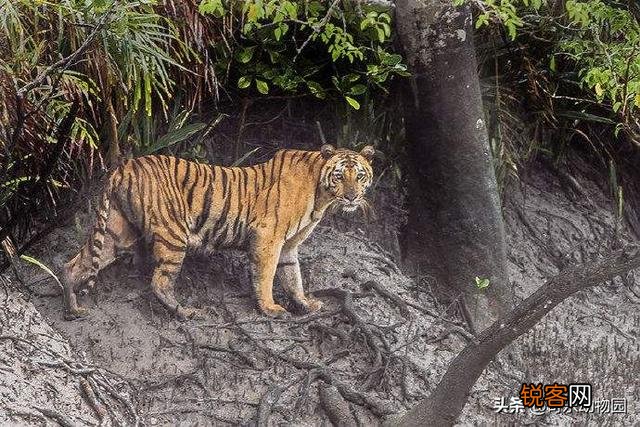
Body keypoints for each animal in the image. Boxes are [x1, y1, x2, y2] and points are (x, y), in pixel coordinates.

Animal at [63, 144, 375, 320]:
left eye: (359, 176)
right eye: (340, 175)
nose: (352, 197)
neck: (321, 195)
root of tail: (125, 166)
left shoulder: (288, 246)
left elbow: (292, 277)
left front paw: (305, 304)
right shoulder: (269, 238)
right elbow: (266, 276)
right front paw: (270, 309)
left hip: (117, 232)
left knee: (74, 264)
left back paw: (72, 309)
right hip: (174, 235)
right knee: (159, 282)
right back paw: (186, 312)